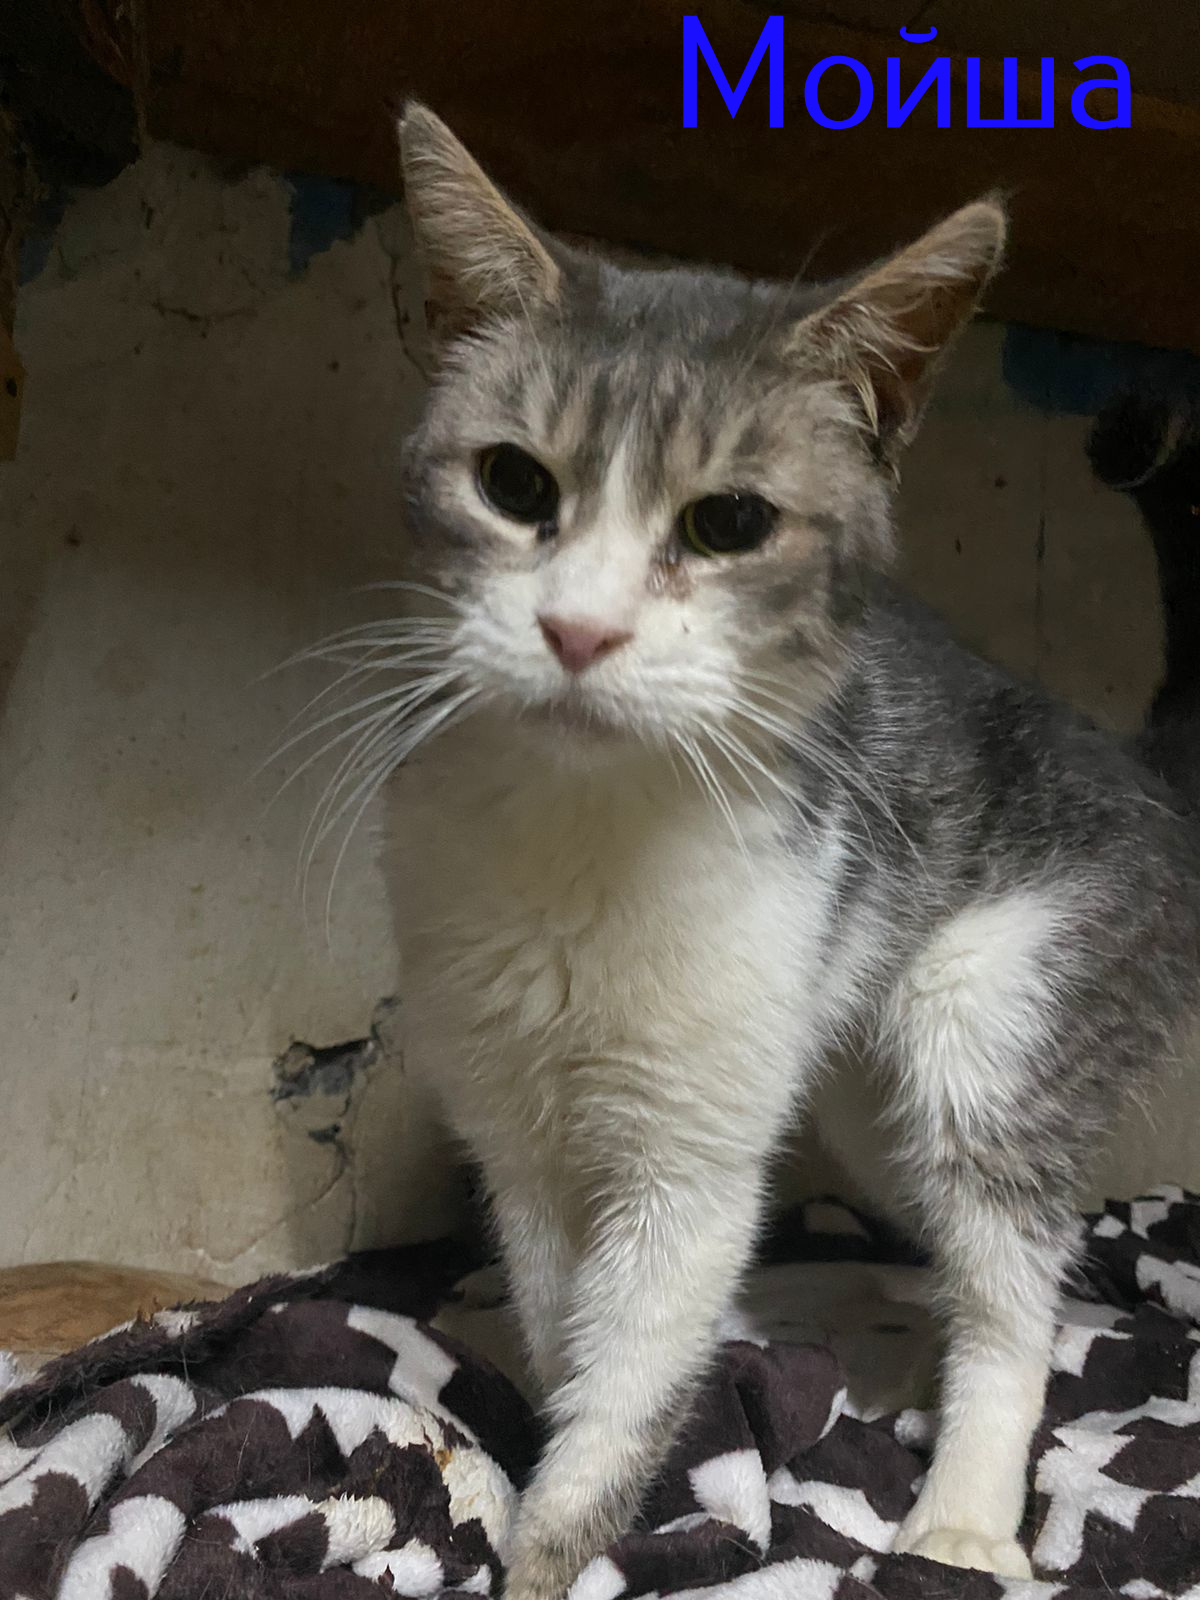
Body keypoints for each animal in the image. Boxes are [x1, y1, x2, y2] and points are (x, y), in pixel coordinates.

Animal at [372, 104, 1200, 1599]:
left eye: (729, 523)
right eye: (514, 484)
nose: (578, 630)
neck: (588, 830)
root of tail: (1134, 764)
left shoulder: (689, 1154)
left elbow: (635, 1353)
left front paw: (551, 1546)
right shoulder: (518, 1117)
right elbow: (561, 1302)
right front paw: (539, 1365)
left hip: (993, 1020)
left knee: (1017, 1283)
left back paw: (966, 1509)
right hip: (864, 1082)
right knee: (923, 1241)